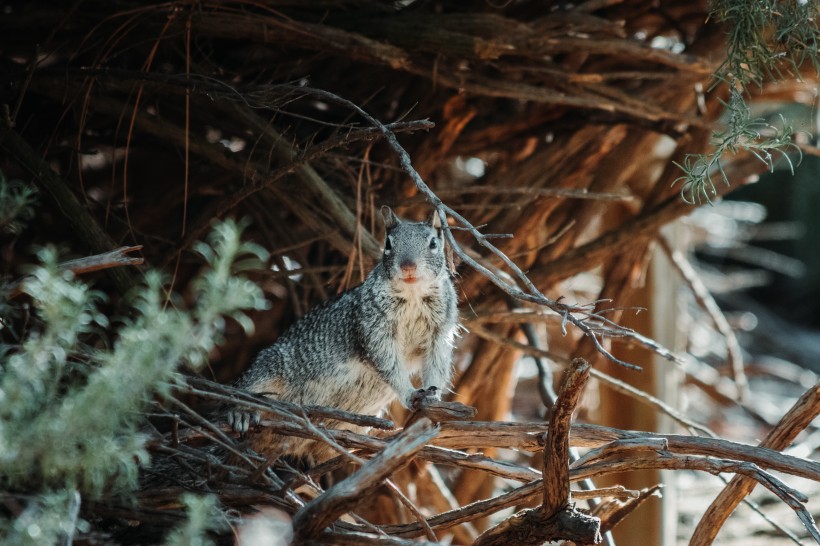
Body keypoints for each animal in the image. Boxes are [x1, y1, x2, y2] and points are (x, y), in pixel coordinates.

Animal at [227, 206, 458, 462]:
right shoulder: (372, 328)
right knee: (242, 391)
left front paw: (434, 397)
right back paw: (241, 412)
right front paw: (410, 393)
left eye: (433, 243)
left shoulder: (440, 332)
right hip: (268, 370)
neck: (413, 295)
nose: (408, 265)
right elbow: (388, 364)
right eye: (388, 243)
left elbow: (436, 363)